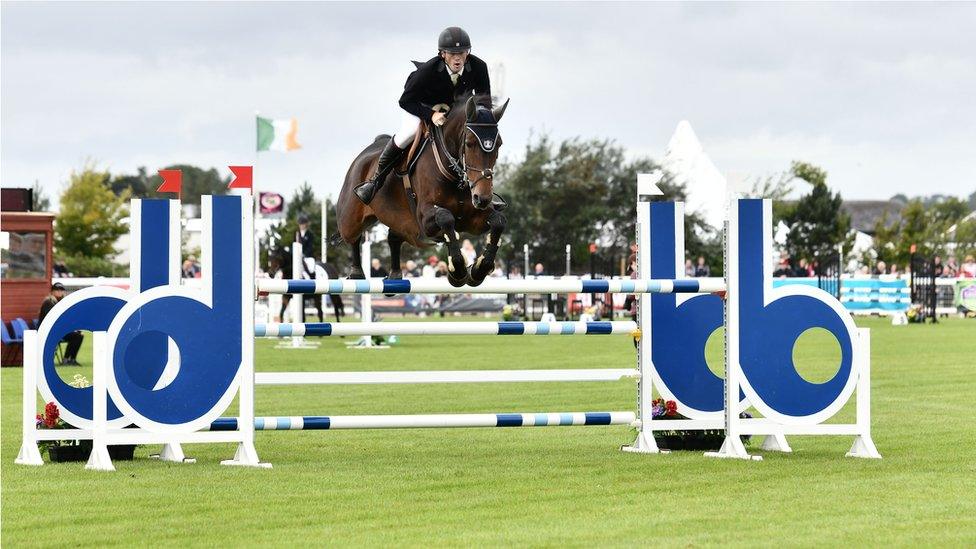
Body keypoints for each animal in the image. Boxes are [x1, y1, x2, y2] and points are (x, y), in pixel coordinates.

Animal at [334, 94, 508, 288]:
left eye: (499, 144)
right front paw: (458, 271)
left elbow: (498, 221)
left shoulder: (472, 220)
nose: (482, 198)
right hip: (351, 216)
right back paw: (356, 273)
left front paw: (478, 270)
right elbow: (446, 218)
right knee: (353, 237)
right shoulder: (425, 218)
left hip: (399, 219)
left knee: (393, 237)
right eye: (469, 144)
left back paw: (395, 275)